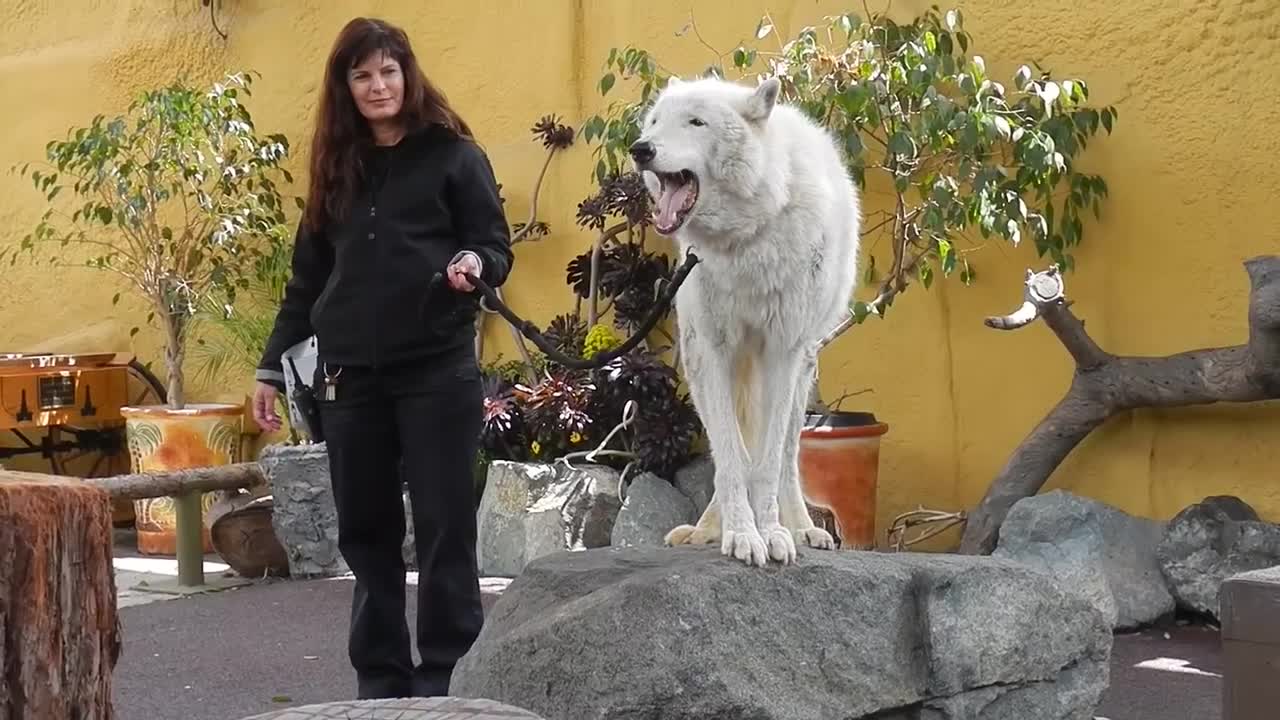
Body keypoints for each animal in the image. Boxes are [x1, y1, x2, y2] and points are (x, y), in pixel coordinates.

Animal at [627, 74, 860, 566]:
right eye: (655, 122)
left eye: (696, 122)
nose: (641, 149)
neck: (745, 242)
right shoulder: (710, 353)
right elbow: (732, 459)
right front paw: (739, 534)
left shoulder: (781, 353)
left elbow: (766, 464)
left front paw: (772, 534)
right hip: (717, 365)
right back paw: (704, 530)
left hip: (802, 368)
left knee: (787, 456)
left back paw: (802, 528)